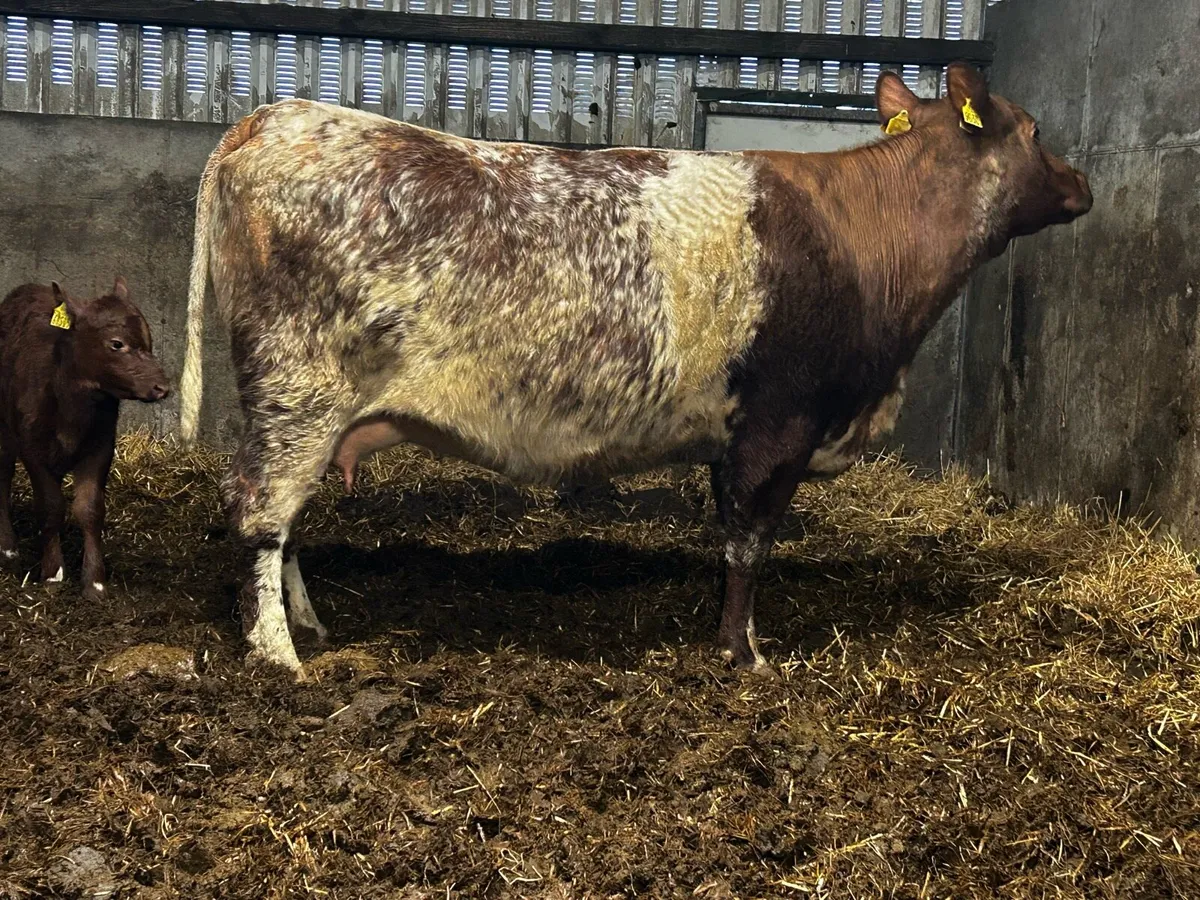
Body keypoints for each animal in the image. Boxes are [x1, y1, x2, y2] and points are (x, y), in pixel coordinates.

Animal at [0, 279, 170, 600]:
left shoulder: (101, 445)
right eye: (116, 343)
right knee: (2, 478)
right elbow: (50, 506)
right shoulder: (31, 447)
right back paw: (7, 548)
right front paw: (53, 573)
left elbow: (90, 508)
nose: (162, 387)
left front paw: (94, 582)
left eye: (150, 339)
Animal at [178, 62, 1091, 679]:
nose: (1083, 182)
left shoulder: (738, 432)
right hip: (298, 386)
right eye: (1037, 132)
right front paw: (744, 655)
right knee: (260, 511)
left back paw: (310, 623)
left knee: (285, 520)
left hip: (303, 404)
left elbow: (730, 538)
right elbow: (749, 544)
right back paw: (279, 653)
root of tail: (272, 116)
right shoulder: (780, 421)